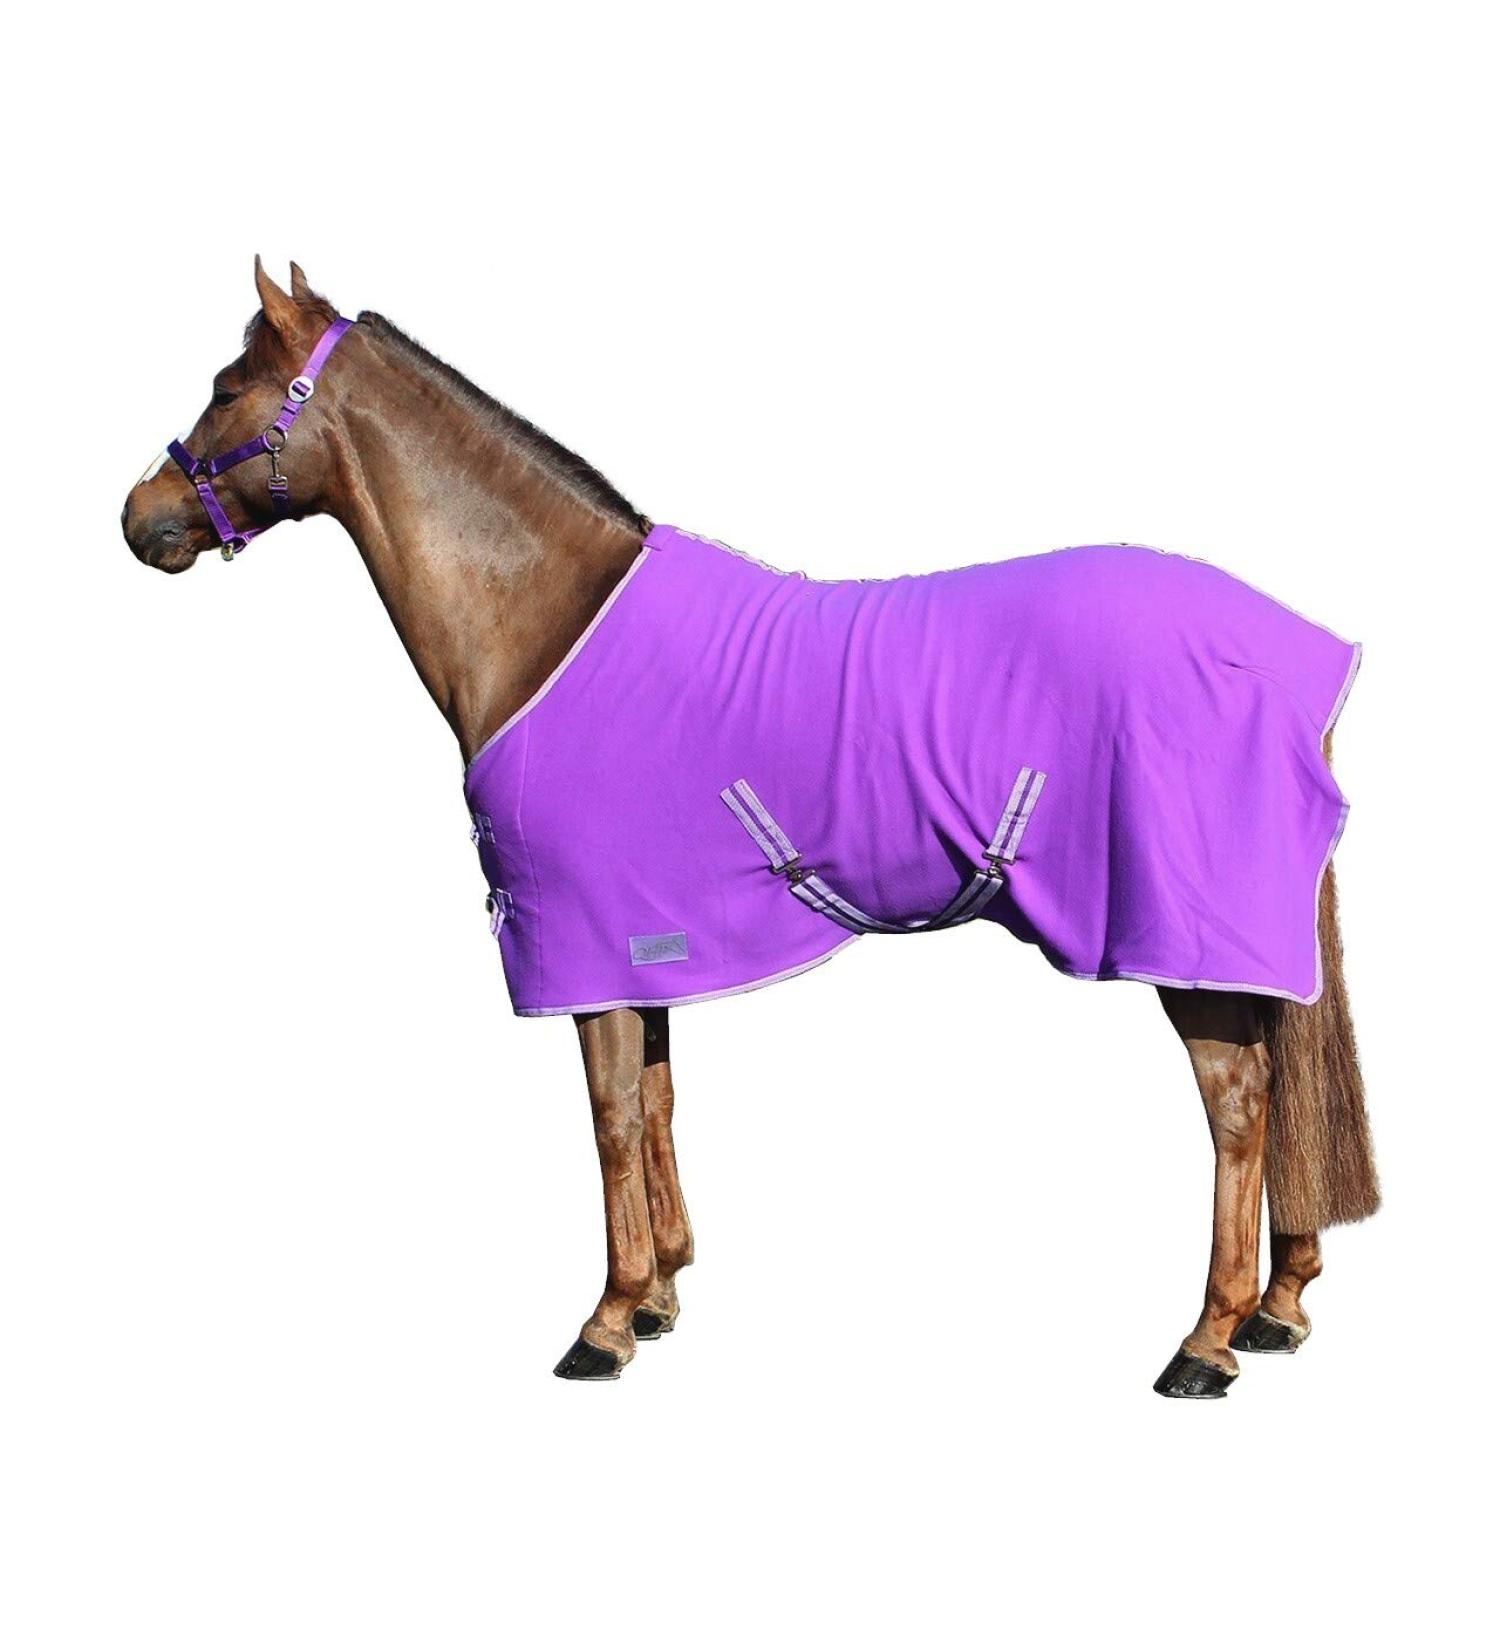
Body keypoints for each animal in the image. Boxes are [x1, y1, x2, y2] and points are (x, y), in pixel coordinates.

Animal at [121, 260, 1379, 1397]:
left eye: (228, 387)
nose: (141, 520)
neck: (548, 620)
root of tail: (1292, 655)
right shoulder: (646, 941)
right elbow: (658, 1104)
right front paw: (662, 1293)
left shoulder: (581, 940)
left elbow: (610, 1120)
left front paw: (605, 1324)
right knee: (1283, 1090)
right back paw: (1278, 1309)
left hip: (1182, 941)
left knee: (1239, 1107)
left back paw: (1206, 1342)